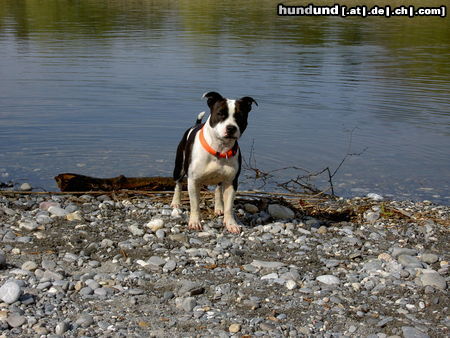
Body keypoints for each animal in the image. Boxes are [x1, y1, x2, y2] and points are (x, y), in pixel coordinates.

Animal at [171, 92, 256, 235]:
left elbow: (229, 206)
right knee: (178, 183)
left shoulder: (231, 182)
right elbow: (195, 204)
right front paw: (195, 222)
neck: (219, 149)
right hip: (179, 167)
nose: (231, 128)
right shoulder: (193, 181)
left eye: (240, 116)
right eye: (220, 113)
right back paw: (176, 202)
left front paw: (231, 224)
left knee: (218, 189)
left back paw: (219, 207)